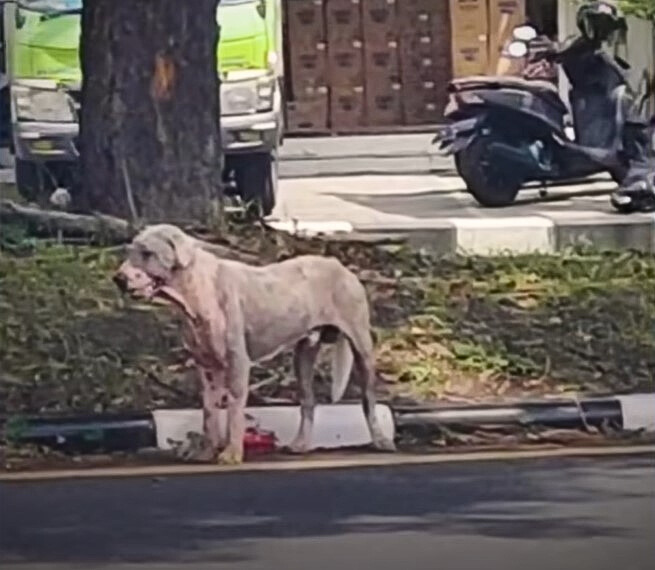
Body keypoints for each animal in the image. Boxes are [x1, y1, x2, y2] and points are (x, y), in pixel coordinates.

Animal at [114, 223, 394, 462]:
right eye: (131, 251)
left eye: (147, 253)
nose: (118, 279)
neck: (198, 289)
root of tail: (340, 266)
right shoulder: (207, 368)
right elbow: (209, 413)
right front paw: (206, 452)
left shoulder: (238, 364)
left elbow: (234, 411)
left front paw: (231, 454)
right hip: (303, 356)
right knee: (308, 402)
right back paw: (300, 445)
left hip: (362, 348)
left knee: (368, 400)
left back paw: (381, 441)